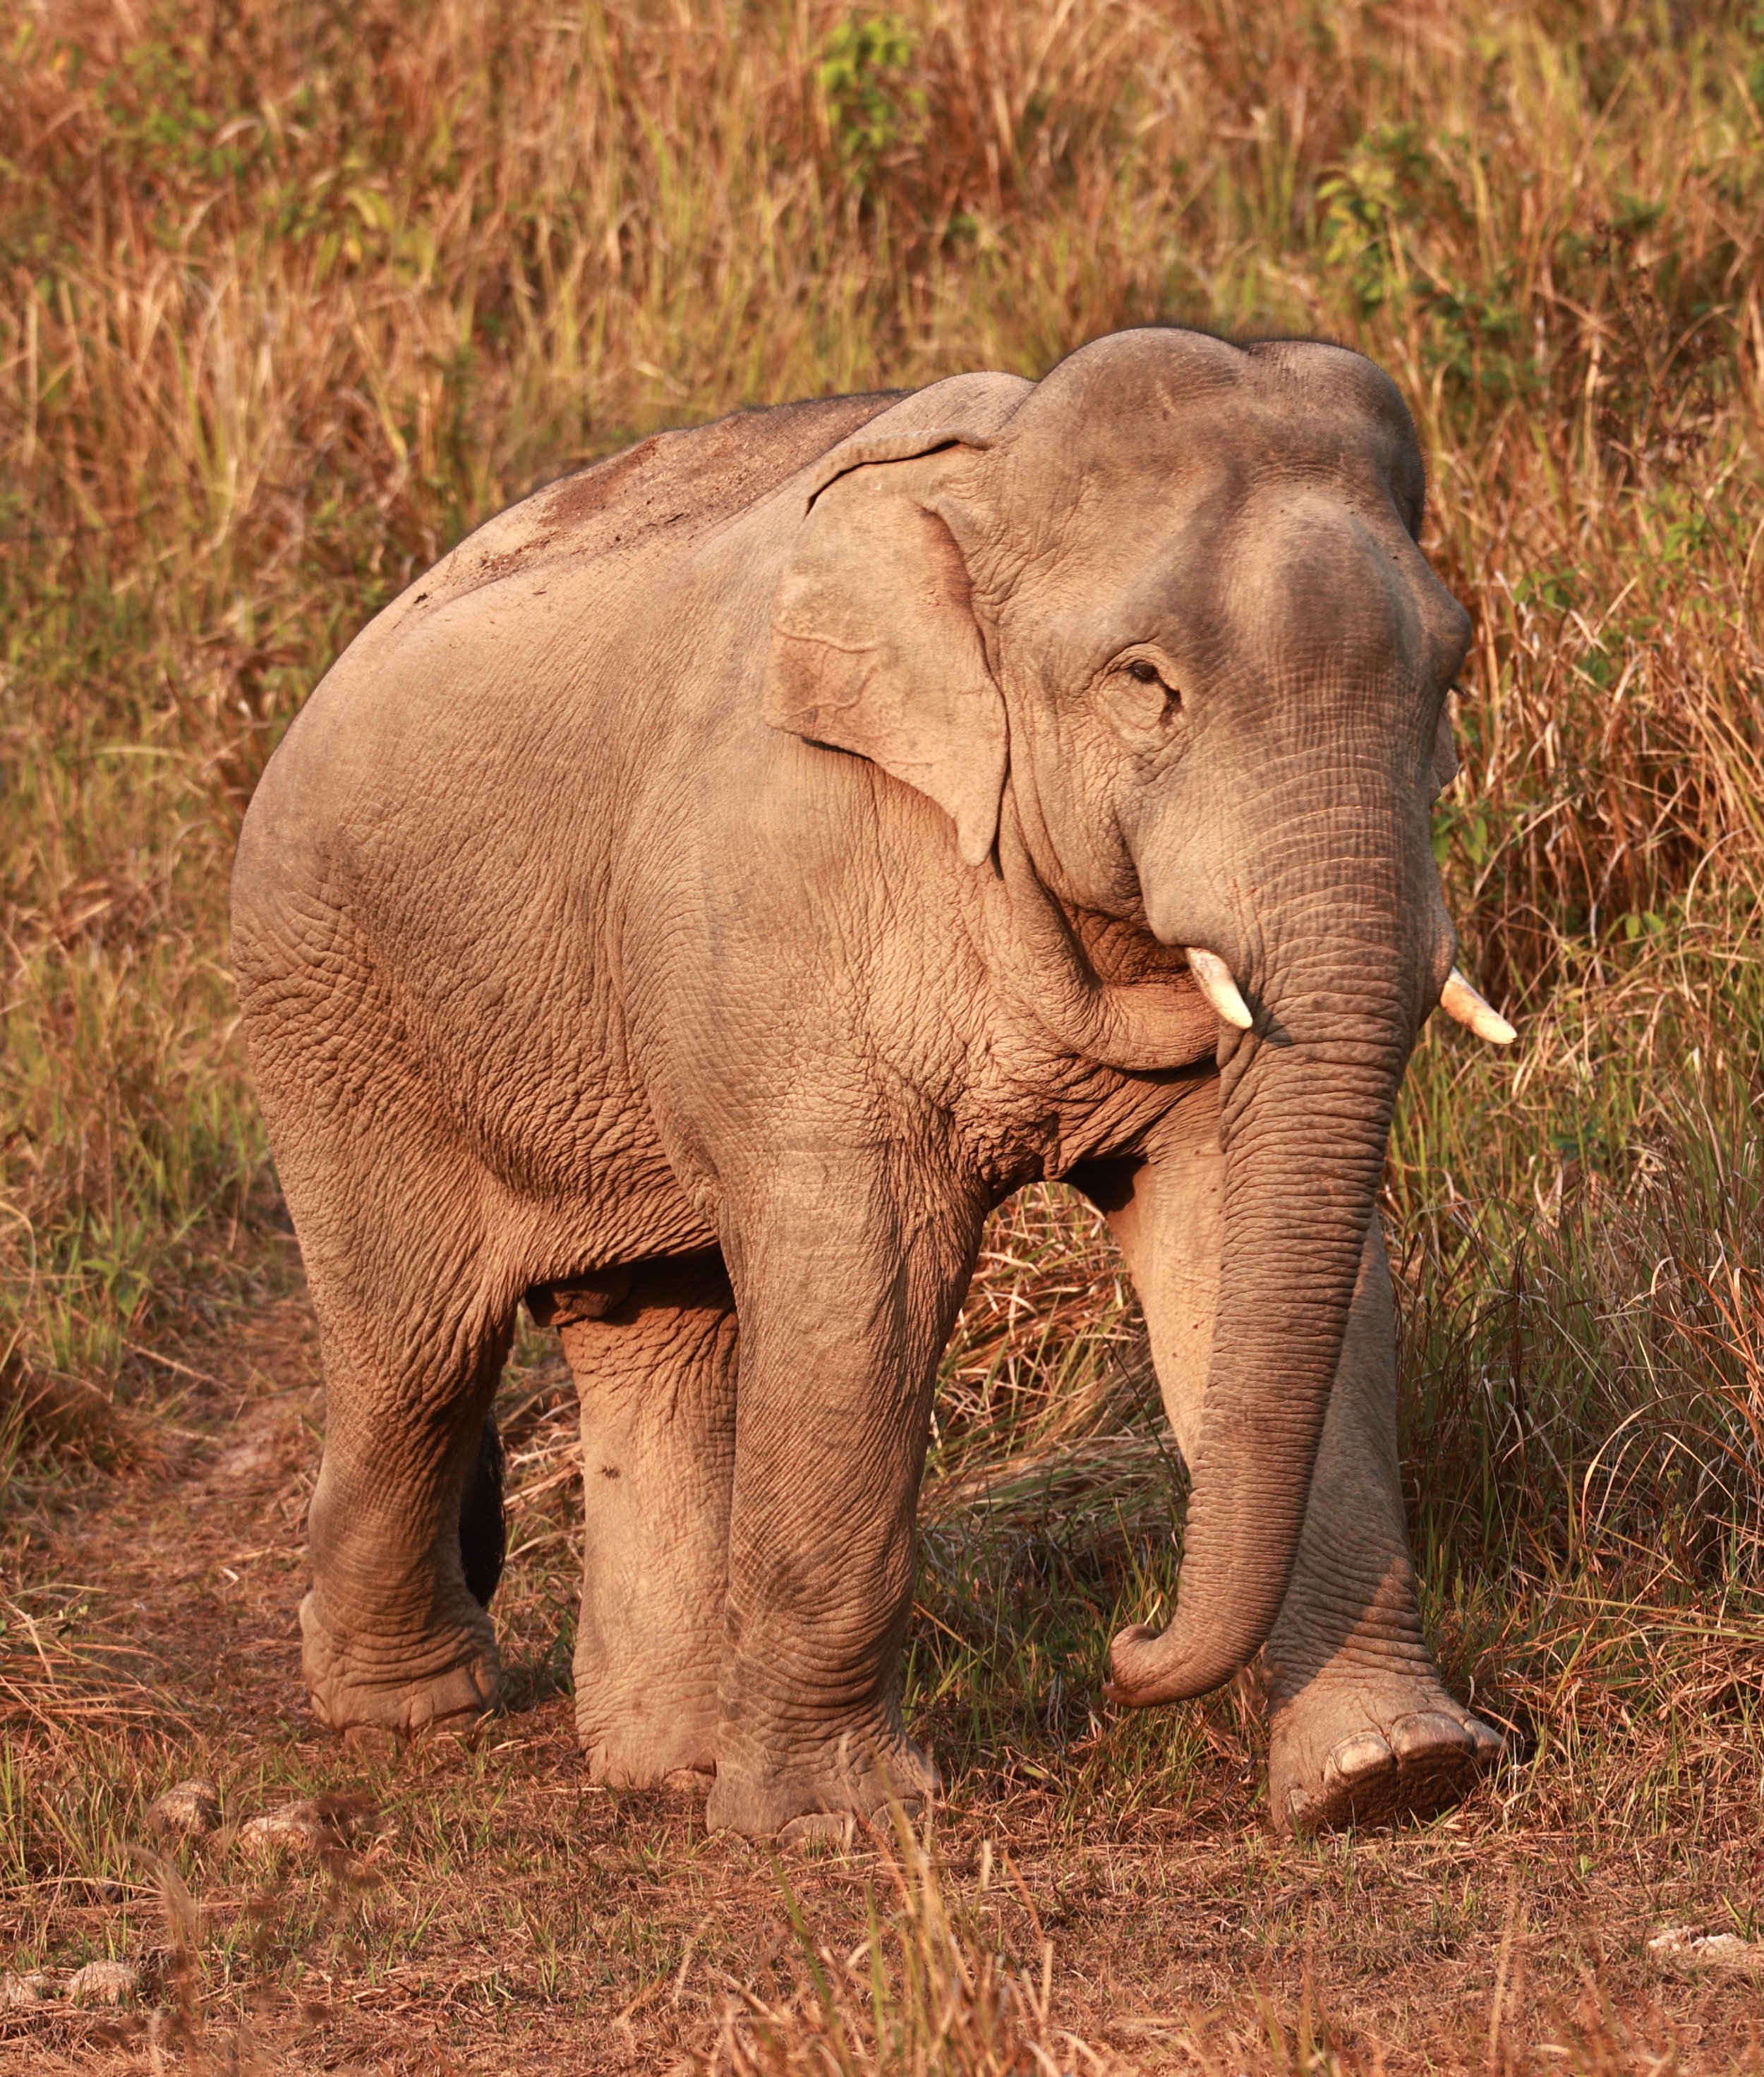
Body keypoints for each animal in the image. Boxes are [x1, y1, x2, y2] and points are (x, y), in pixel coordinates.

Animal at [232, 325, 1513, 1840]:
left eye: (1450, 670)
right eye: (1146, 682)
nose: (1126, 1650)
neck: (989, 487)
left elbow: (1244, 1242)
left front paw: (1394, 1774)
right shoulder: (790, 893)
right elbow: (862, 1282)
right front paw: (832, 1828)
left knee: (654, 1334)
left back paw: (667, 1758)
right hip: (335, 1007)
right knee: (414, 1357)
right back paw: (414, 1713)